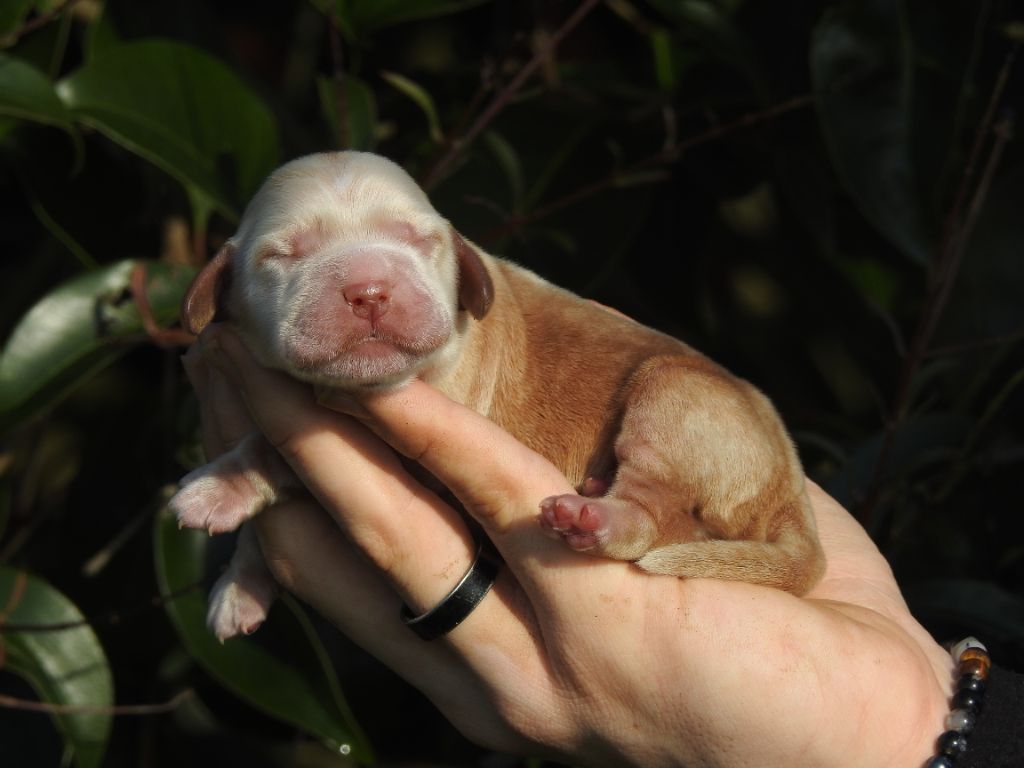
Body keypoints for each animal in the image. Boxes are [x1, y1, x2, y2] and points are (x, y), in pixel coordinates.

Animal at [167, 151, 823, 643]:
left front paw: (218, 488)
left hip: (676, 396)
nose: (369, 290)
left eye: (419, 240)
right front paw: (242, 586)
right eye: (284, 253)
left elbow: (274, 450)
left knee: (657, 511)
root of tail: (790, 487)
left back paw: (598, 516)